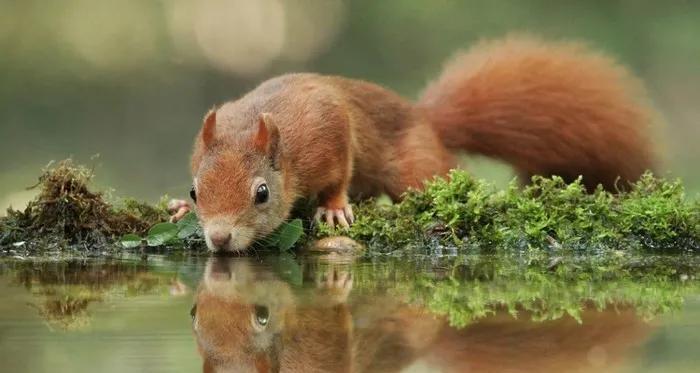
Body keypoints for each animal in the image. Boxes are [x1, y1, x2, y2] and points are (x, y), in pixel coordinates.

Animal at [170, 36, 656, 251]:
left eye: (262, 193)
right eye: (196, 190)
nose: (218, 238)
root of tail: (425, 118)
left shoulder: (328, 130)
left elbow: (339, 172)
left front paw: (333, 207)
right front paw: (176, 207)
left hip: (417, 167)